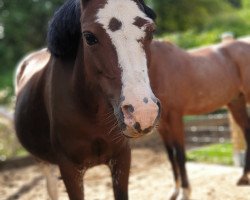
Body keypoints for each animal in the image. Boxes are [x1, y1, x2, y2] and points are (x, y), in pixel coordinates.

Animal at [14, 0, 160, 199]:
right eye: (89, 37)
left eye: (151, 31)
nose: (143, 113)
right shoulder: (69, 169)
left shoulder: (122, 158)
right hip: (43, 161)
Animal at [149, 39, 250, 200]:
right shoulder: (162, 124)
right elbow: (171, 157)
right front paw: (174, 192)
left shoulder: (175, 116)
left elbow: (180, 155)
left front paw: (185, 192)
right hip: (236, 103)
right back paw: (244, 177)